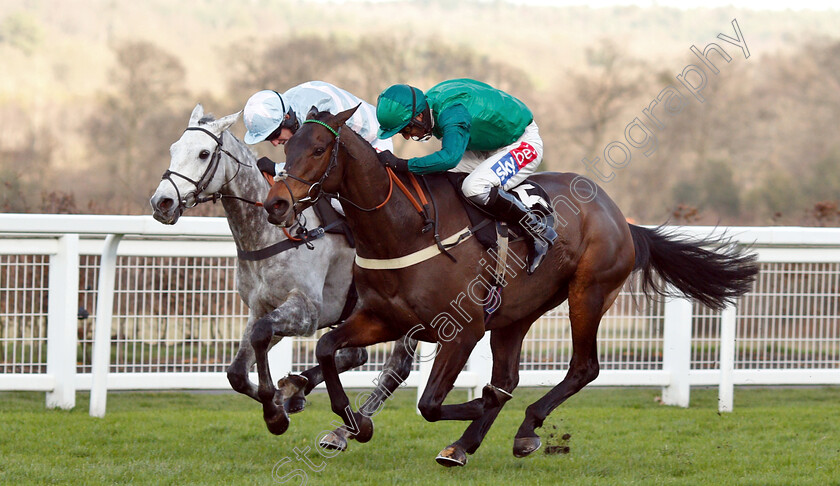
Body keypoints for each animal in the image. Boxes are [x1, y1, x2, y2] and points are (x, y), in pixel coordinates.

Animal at [149, 104, 416, 442]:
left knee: (396, 366)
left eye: (203, 153)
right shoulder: (261, 307)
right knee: (358, 356)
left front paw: (276, 410)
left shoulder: (307, 311)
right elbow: (237, 372)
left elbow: (262, 335)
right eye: (173, 149)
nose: (162, 202)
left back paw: (349, 426)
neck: (268, 234)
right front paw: (283, 399)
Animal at [260, 107, 756, 468]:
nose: (276, 203)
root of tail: (621, 217)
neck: (403, 229)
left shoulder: (460, 331)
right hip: (515, 315)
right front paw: (349, 422)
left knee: (582, 368)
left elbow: (431, 403)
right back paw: (464, 445)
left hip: (588, 293)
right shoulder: (384, 317)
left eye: (319, 148)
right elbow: (327, 348)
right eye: (287, 147)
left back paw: (523, 428)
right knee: (508, 377)